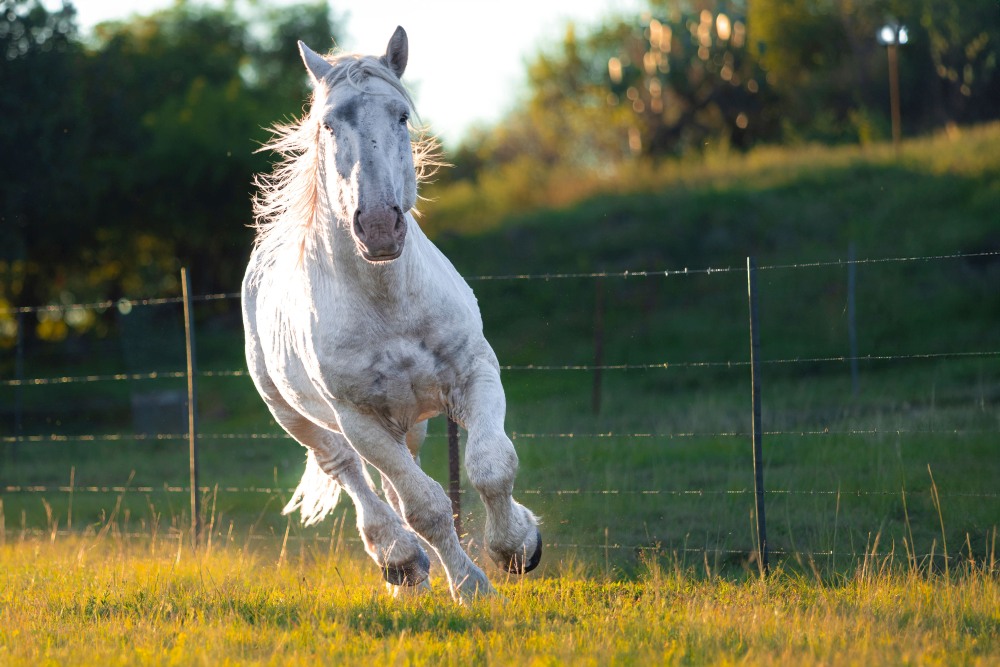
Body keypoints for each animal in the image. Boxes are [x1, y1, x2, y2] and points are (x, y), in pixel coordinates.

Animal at [241, 26, 541, 600]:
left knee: (398, 478)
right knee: (351, 473)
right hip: (295, 414)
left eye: (401, 116)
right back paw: (401, 562)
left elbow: (491, 465)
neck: (387, 304)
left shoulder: (474, 374)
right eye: (328, 124)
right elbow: (425, 507)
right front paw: (470, 586)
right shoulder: (358, 417)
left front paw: (519, 547)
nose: (379, 225)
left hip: (410, 421)